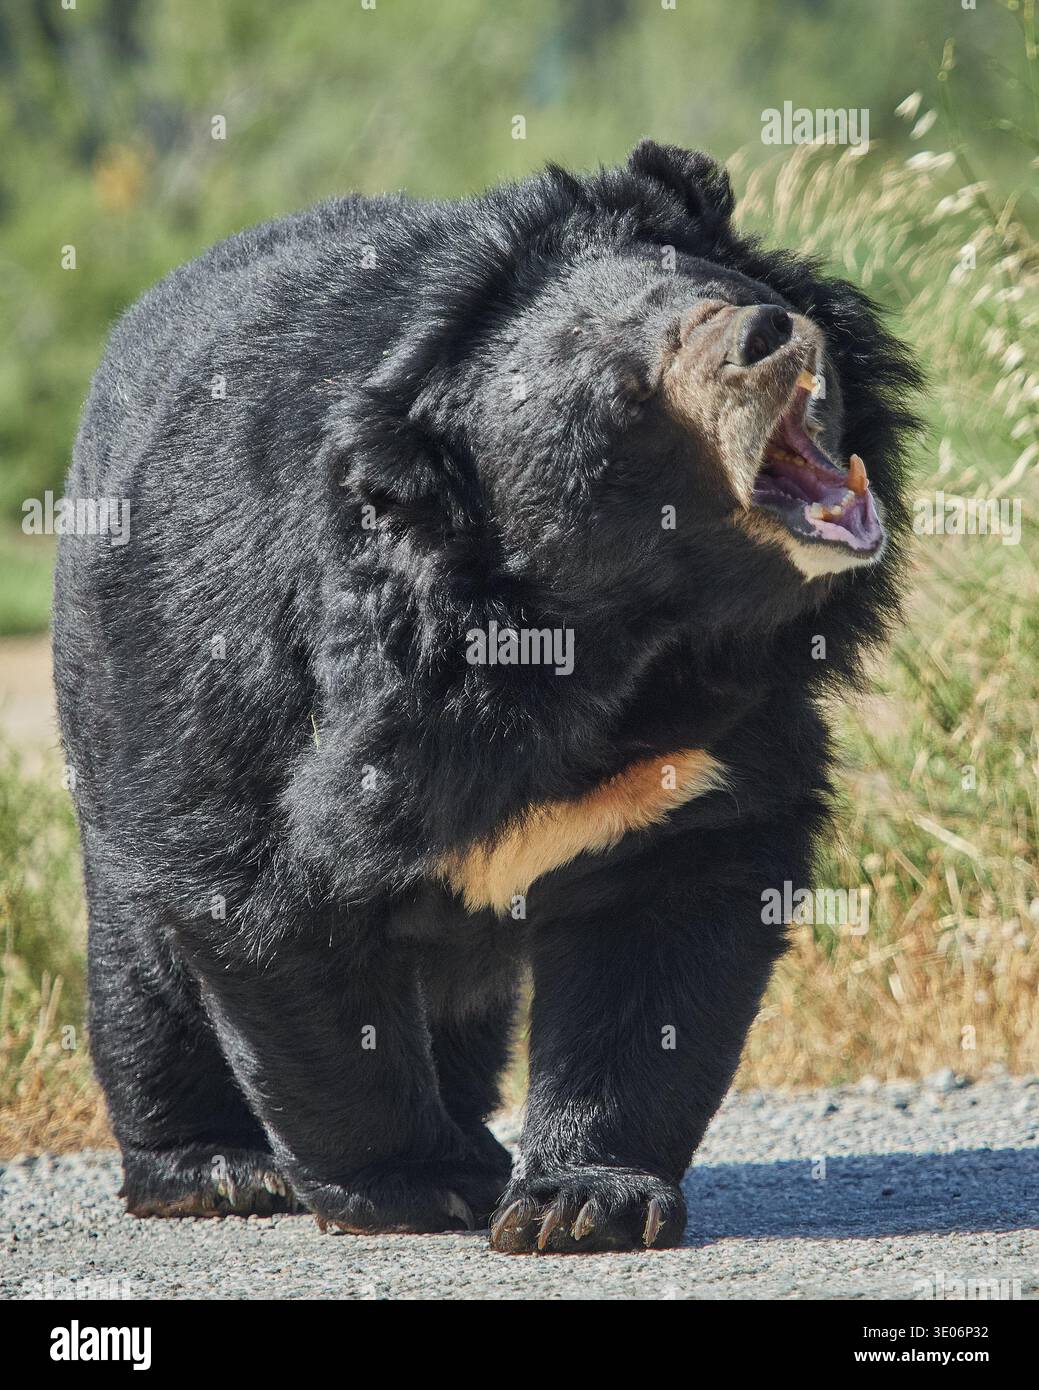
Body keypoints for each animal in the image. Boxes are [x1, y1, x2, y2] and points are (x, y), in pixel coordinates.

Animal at [53, 141, 918, 1253]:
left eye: (709, 290)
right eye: (628, 390)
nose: (767, 334)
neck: (601, 644)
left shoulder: (703, 748)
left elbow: (669, 926)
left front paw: (580, 1200)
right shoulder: (267, 700)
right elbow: (270, 908)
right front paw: (417, 1184)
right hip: (109, 731)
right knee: (144, 970)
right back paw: (213, 1167)